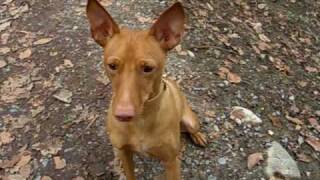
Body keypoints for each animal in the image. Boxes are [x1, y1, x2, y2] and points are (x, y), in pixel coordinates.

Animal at [86, 0, 206, 179]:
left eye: (148, 68)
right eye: (112, 66)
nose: (123, 115)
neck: (142, 120)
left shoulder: (171, 162)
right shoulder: (124, 153)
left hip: (190, 121)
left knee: (193, 128)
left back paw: (199, 136)